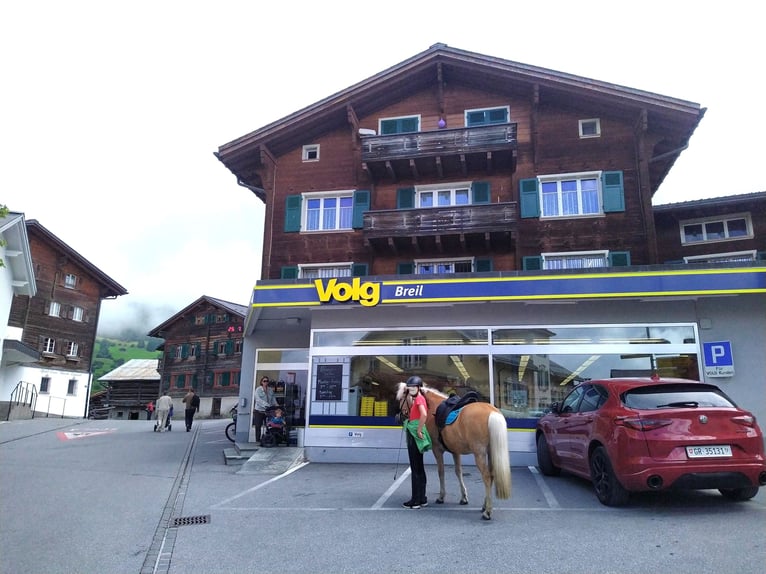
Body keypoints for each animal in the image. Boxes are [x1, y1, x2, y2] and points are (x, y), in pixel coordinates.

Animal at [400, 382, 512, 520]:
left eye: (402, 397)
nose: (400, 415)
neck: (433, 408)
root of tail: (493, 413)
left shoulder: (437, 450)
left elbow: (441, 472)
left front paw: (441, 497)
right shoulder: (455, 451)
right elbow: (458, 472)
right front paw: (463, 497)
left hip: (479, 454)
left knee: (487, 477)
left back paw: (487, 512)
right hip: (491, 453)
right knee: (491, 475)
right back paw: (484, 506)